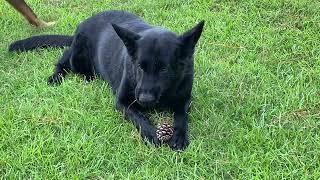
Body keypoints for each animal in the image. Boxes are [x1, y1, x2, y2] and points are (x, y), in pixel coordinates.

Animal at [10, 10, 205, 150]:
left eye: (164, 69)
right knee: (63, 61)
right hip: (76, 59)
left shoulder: (185, 98)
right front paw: (151, 133)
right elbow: (138, 117)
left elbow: (181, 115)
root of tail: (81, 25)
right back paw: (56, 77)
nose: (144, 99)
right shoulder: (122, 103)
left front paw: (179, 135)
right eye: (140, 66)